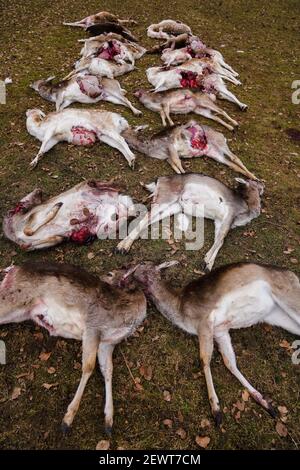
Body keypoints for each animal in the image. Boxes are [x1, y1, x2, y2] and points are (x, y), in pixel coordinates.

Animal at [0, 260, 146, 434]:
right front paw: (67, 420)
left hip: (21, 311)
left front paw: (109, 421)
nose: (100, 277)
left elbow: (108, 369)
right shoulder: (93, 327)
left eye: (110, 274)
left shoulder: (108, 342)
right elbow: (88, 366)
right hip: (14, 298)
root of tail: (12, 269)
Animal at [116, 173, 264, 272]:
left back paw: (124, 246)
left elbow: (220, 240)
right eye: (254, 181)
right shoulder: (229, 214)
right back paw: (121, 247)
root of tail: (159, 180)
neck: (247, 208)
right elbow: (221, 238)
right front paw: (205, 261)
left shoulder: (219, 221)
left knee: (149, 219)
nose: (263, 183)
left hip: (174, 206)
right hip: (166, 198)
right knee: (146, 217)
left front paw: (208, 265)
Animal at [122, 120, 255, 179]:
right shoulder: (167, 157)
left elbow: (178, 163)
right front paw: (181, 174)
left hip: (220, 142)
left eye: (131, 127)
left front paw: (185, 174)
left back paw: (254, 177)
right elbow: (175, 166)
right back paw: (250, 176)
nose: (121, 134)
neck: (151, 148)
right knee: (231, 164)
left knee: (235, 157)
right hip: (214, 154)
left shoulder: (170, 146)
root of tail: (222, 135)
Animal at [129, 260, 300, 426]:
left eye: (143, 264)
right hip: (277, 316)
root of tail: (293, 275)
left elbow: (204, 359)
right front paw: (265, 402)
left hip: (288, 297)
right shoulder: (220, 330)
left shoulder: (204, 322)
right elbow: (229, 362)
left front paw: (216, 410)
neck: (179, 309)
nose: (130, 271)